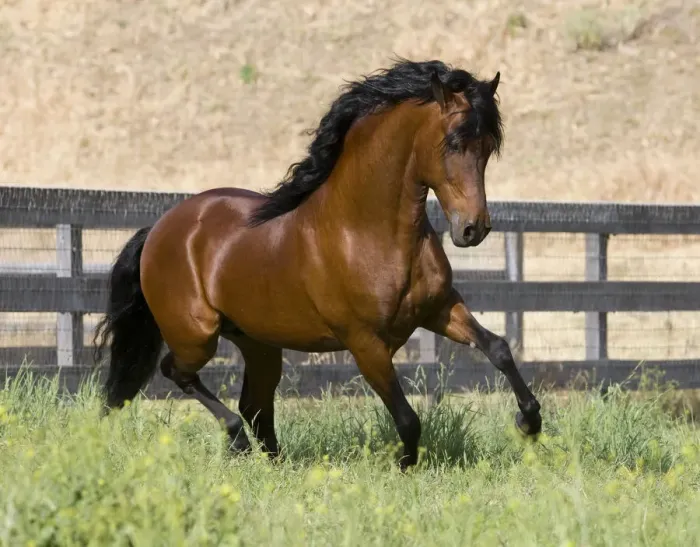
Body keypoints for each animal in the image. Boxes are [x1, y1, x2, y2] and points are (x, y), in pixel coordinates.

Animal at [93, 59, 542, 471]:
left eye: (488, 148)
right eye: (452, 142)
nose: (473, 229)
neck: (365, 230)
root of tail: (159, 228)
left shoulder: (439, 309)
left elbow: (499, 348)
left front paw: (530, 422)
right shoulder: (365, 343)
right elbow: (407, 418)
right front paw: (404, 467)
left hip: (258, 342)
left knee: (254, 404)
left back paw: (275, 463)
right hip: (196, 336)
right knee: (180, 374)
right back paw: (237, 441)